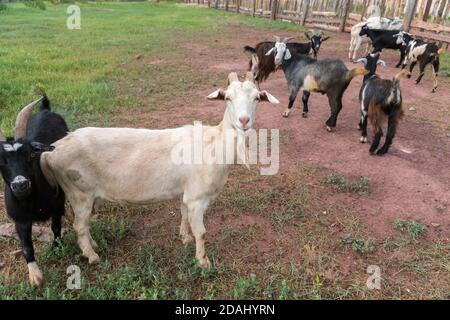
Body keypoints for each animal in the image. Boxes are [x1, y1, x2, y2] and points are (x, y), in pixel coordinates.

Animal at [0, 96, 68, 286]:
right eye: (0, 161)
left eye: (30, 155)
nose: (21, 184)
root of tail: (44, 109)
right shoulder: (19, 219)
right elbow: (26, 246)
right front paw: (35, 276)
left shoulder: (57, 205)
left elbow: (55, 227)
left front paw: (56, 248)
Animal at [42, 72, 280, 268]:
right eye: (228, 98)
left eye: (257, 98)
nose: (243, 120)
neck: (214, 142)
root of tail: (52, 151)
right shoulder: (197, 197)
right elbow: (201, 232)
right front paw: (203, 261)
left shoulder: (186, 192)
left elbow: (183, 215)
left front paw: (184, 238)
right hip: (78, 192)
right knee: (79, 226)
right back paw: (92, 256)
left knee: (84, 225)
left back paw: (94, 246)